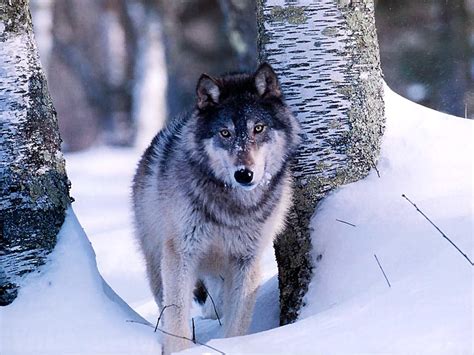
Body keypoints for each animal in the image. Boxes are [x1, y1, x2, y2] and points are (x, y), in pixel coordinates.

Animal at [131, 62, 298, 354]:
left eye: (258, 128)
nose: (244, 174)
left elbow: (237, 323)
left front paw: (232, 346)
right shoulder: (181, 254)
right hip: (157, 264)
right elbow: (177, 319)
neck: (232, 208)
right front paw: (180, 350)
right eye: (225, 133)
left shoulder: (246, 261)